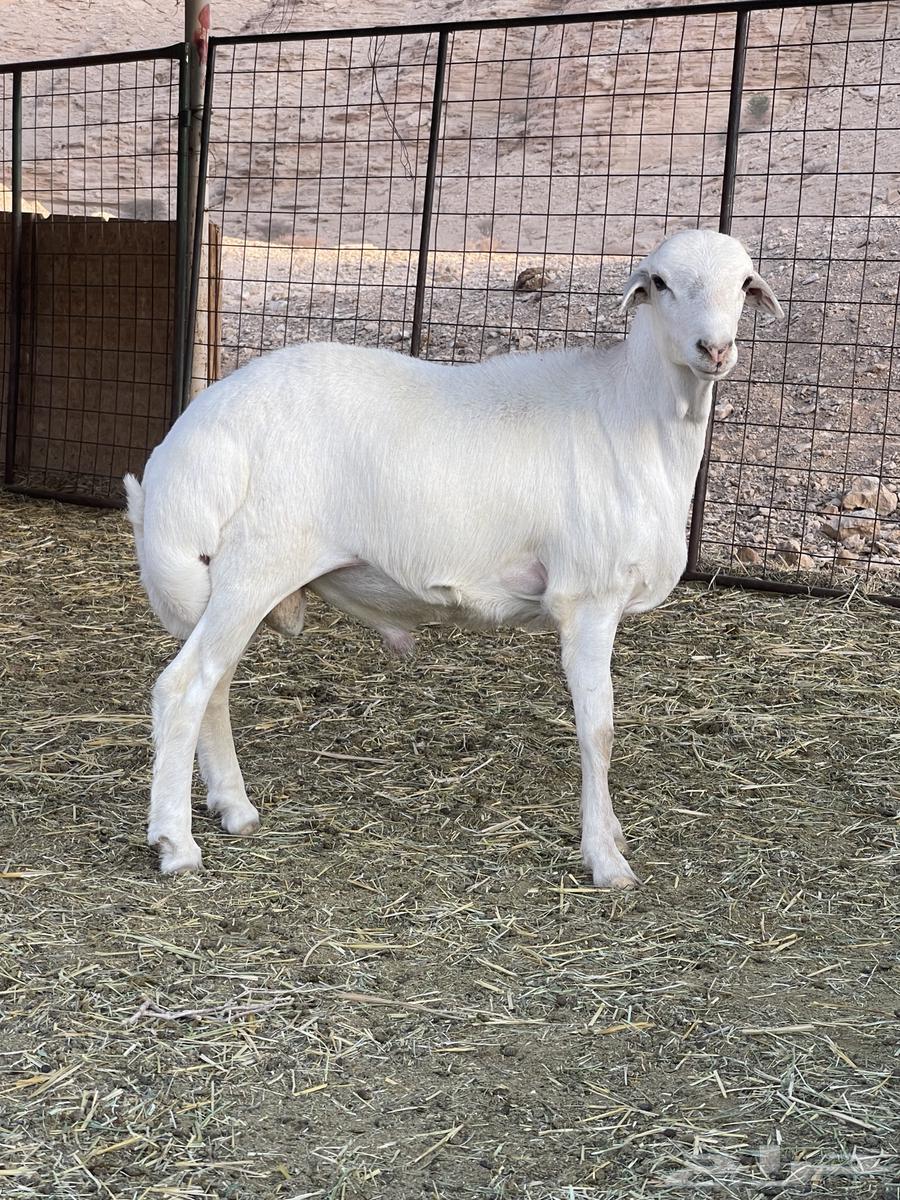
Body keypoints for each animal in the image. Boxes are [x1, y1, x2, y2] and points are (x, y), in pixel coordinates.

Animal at [125, 228, 782, 885]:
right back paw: (176, 844)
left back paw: (234, 808)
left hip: (237, 580)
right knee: (183, 688)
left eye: (745, 284)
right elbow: (598, 730)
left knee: (214, 685)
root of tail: (188, 445)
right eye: (661, 284)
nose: (715, 348)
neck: (633, 414)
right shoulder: (587, 596)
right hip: (257, 565)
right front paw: (605, 858)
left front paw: (612, 838)